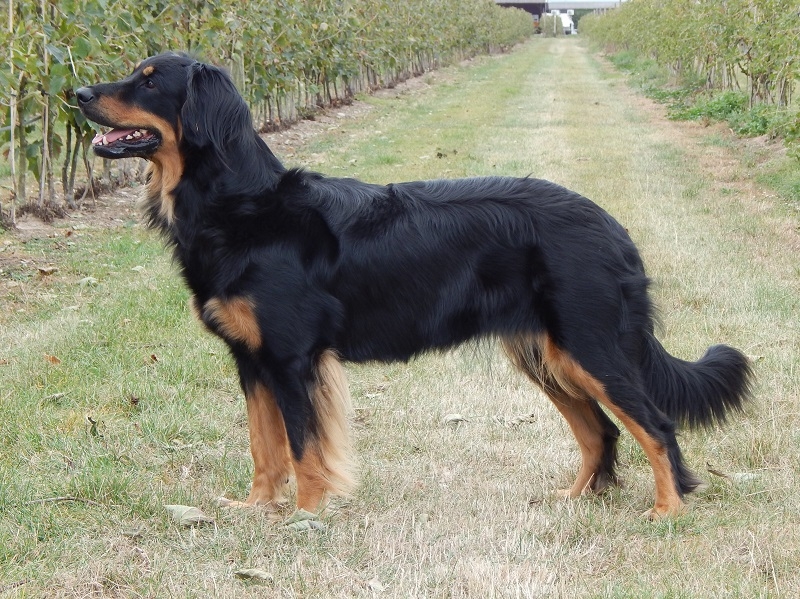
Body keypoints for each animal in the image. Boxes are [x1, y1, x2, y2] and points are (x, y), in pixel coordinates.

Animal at [78, 52, 752, 520]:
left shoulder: (292, 358)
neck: (241, 205)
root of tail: (613, 226)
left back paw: (667, 510)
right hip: (548, 353)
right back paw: (575, 498)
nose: (79, 93)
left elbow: (303, 447)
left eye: (149, 81)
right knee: (602, 430)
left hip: (590, 344)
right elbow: (264, 448)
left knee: (655, 425)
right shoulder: (252, 358)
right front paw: (257, 509)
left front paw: (306, 517)